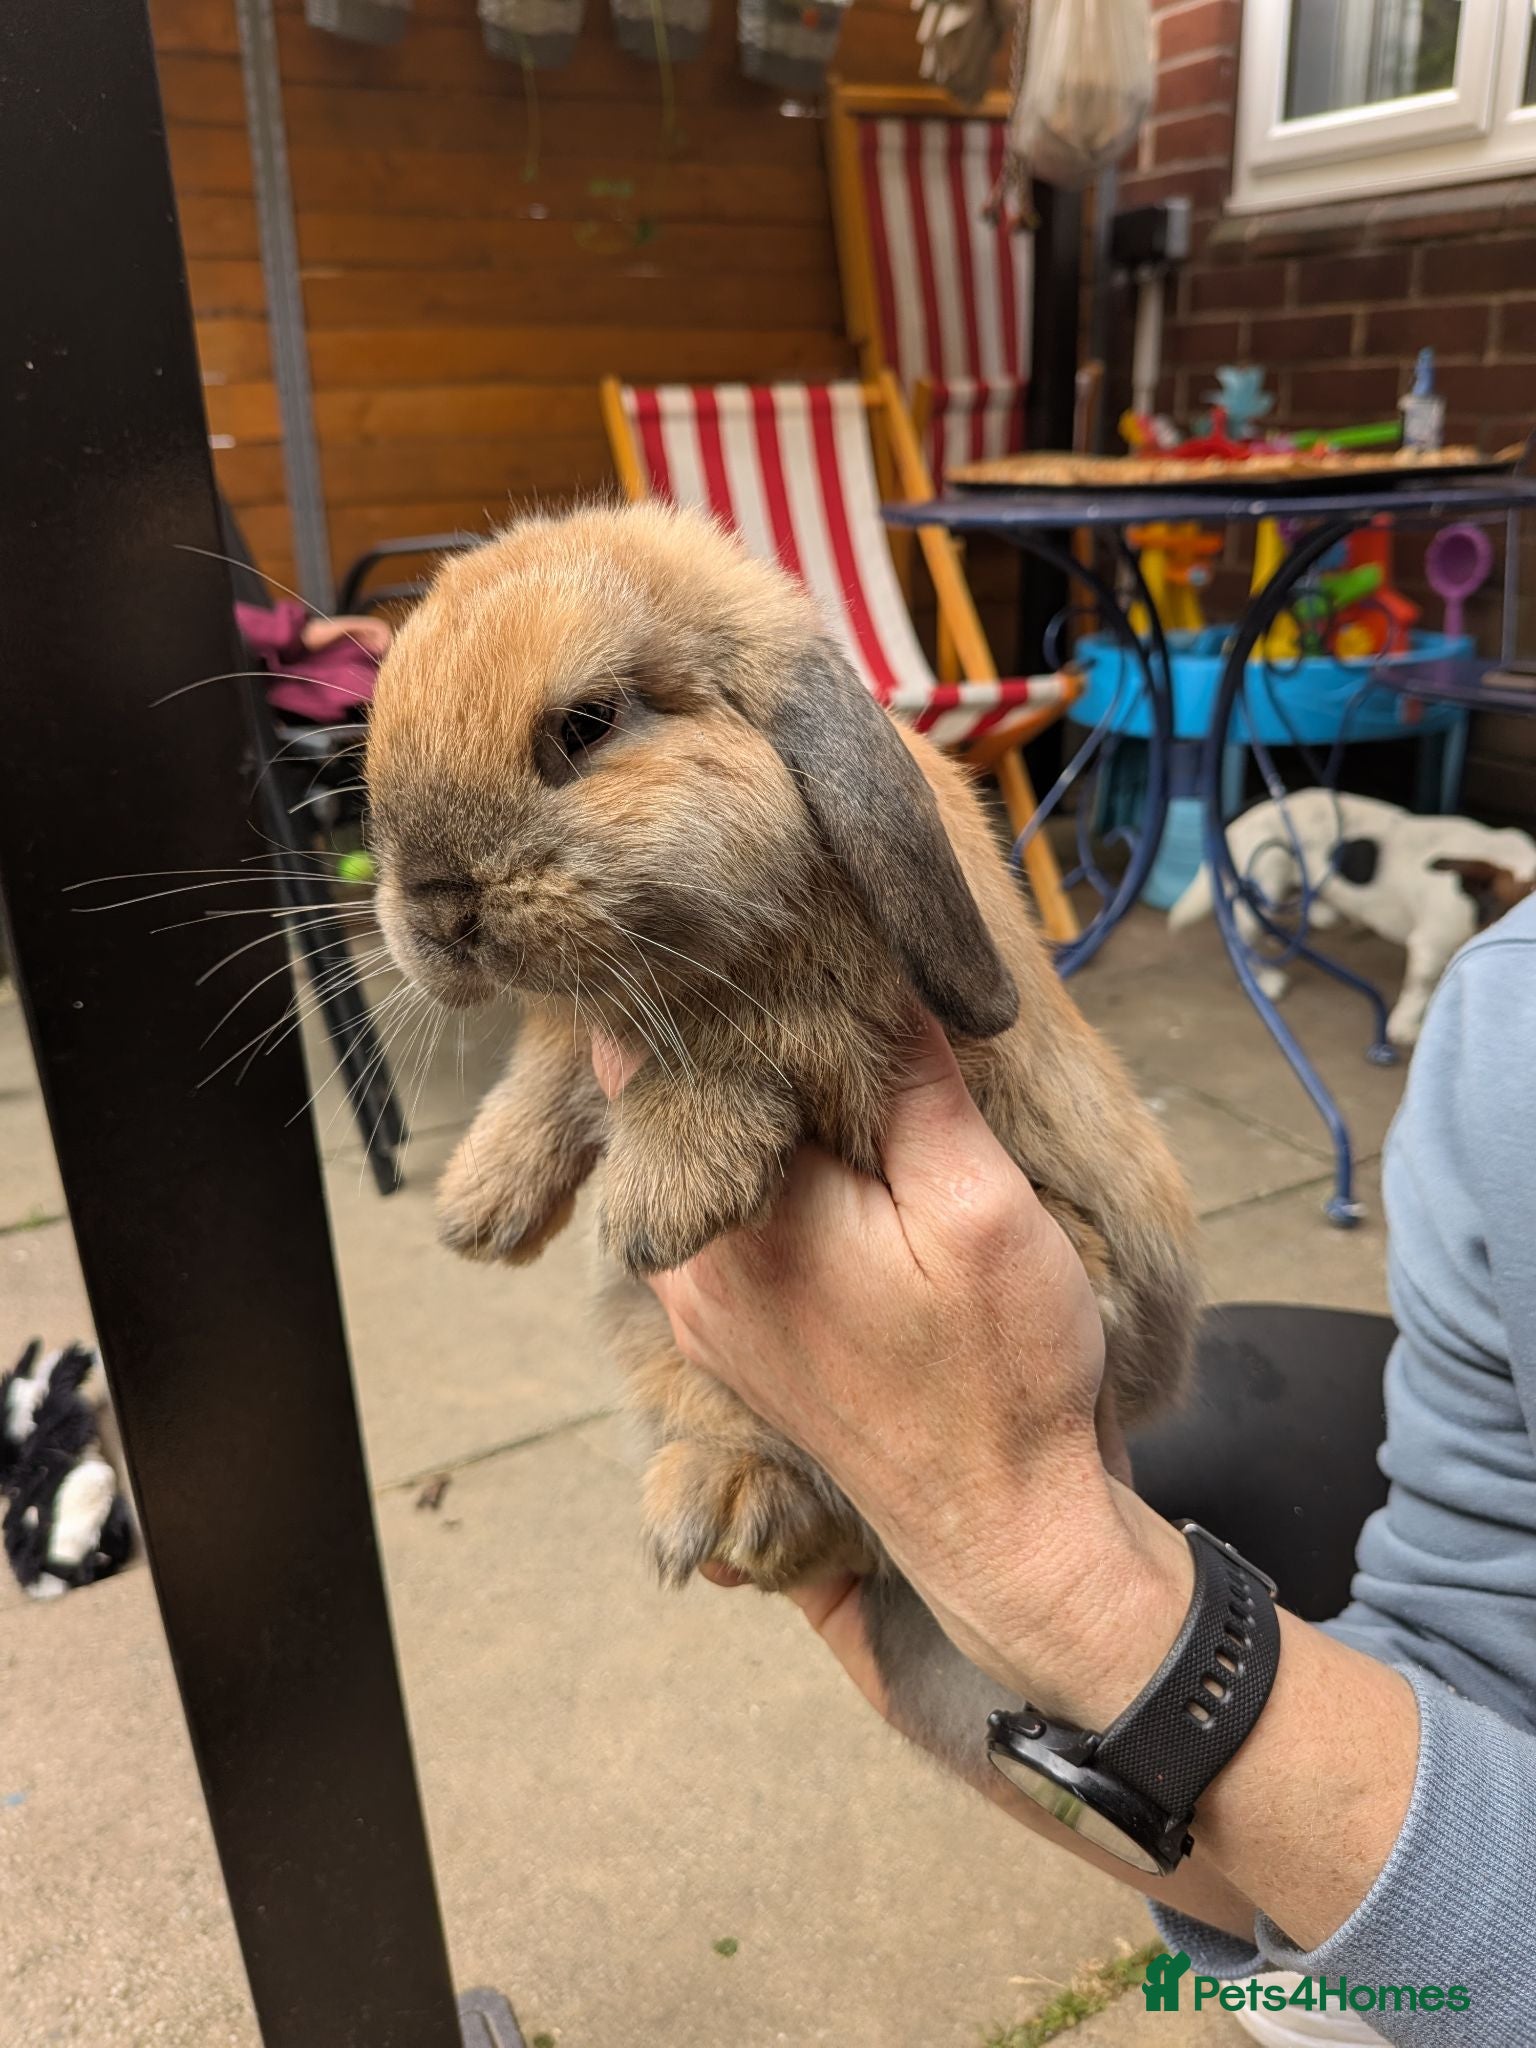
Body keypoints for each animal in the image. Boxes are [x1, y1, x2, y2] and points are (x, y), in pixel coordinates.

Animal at [365, 499, 1201, 1784]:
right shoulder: (584, 1026)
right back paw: (720, 1501)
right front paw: (482, 1209)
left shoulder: (830, 1020)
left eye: (585, 723)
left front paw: (657, 1200)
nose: (435, 907)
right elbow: (552, 1062)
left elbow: (742, 1045)